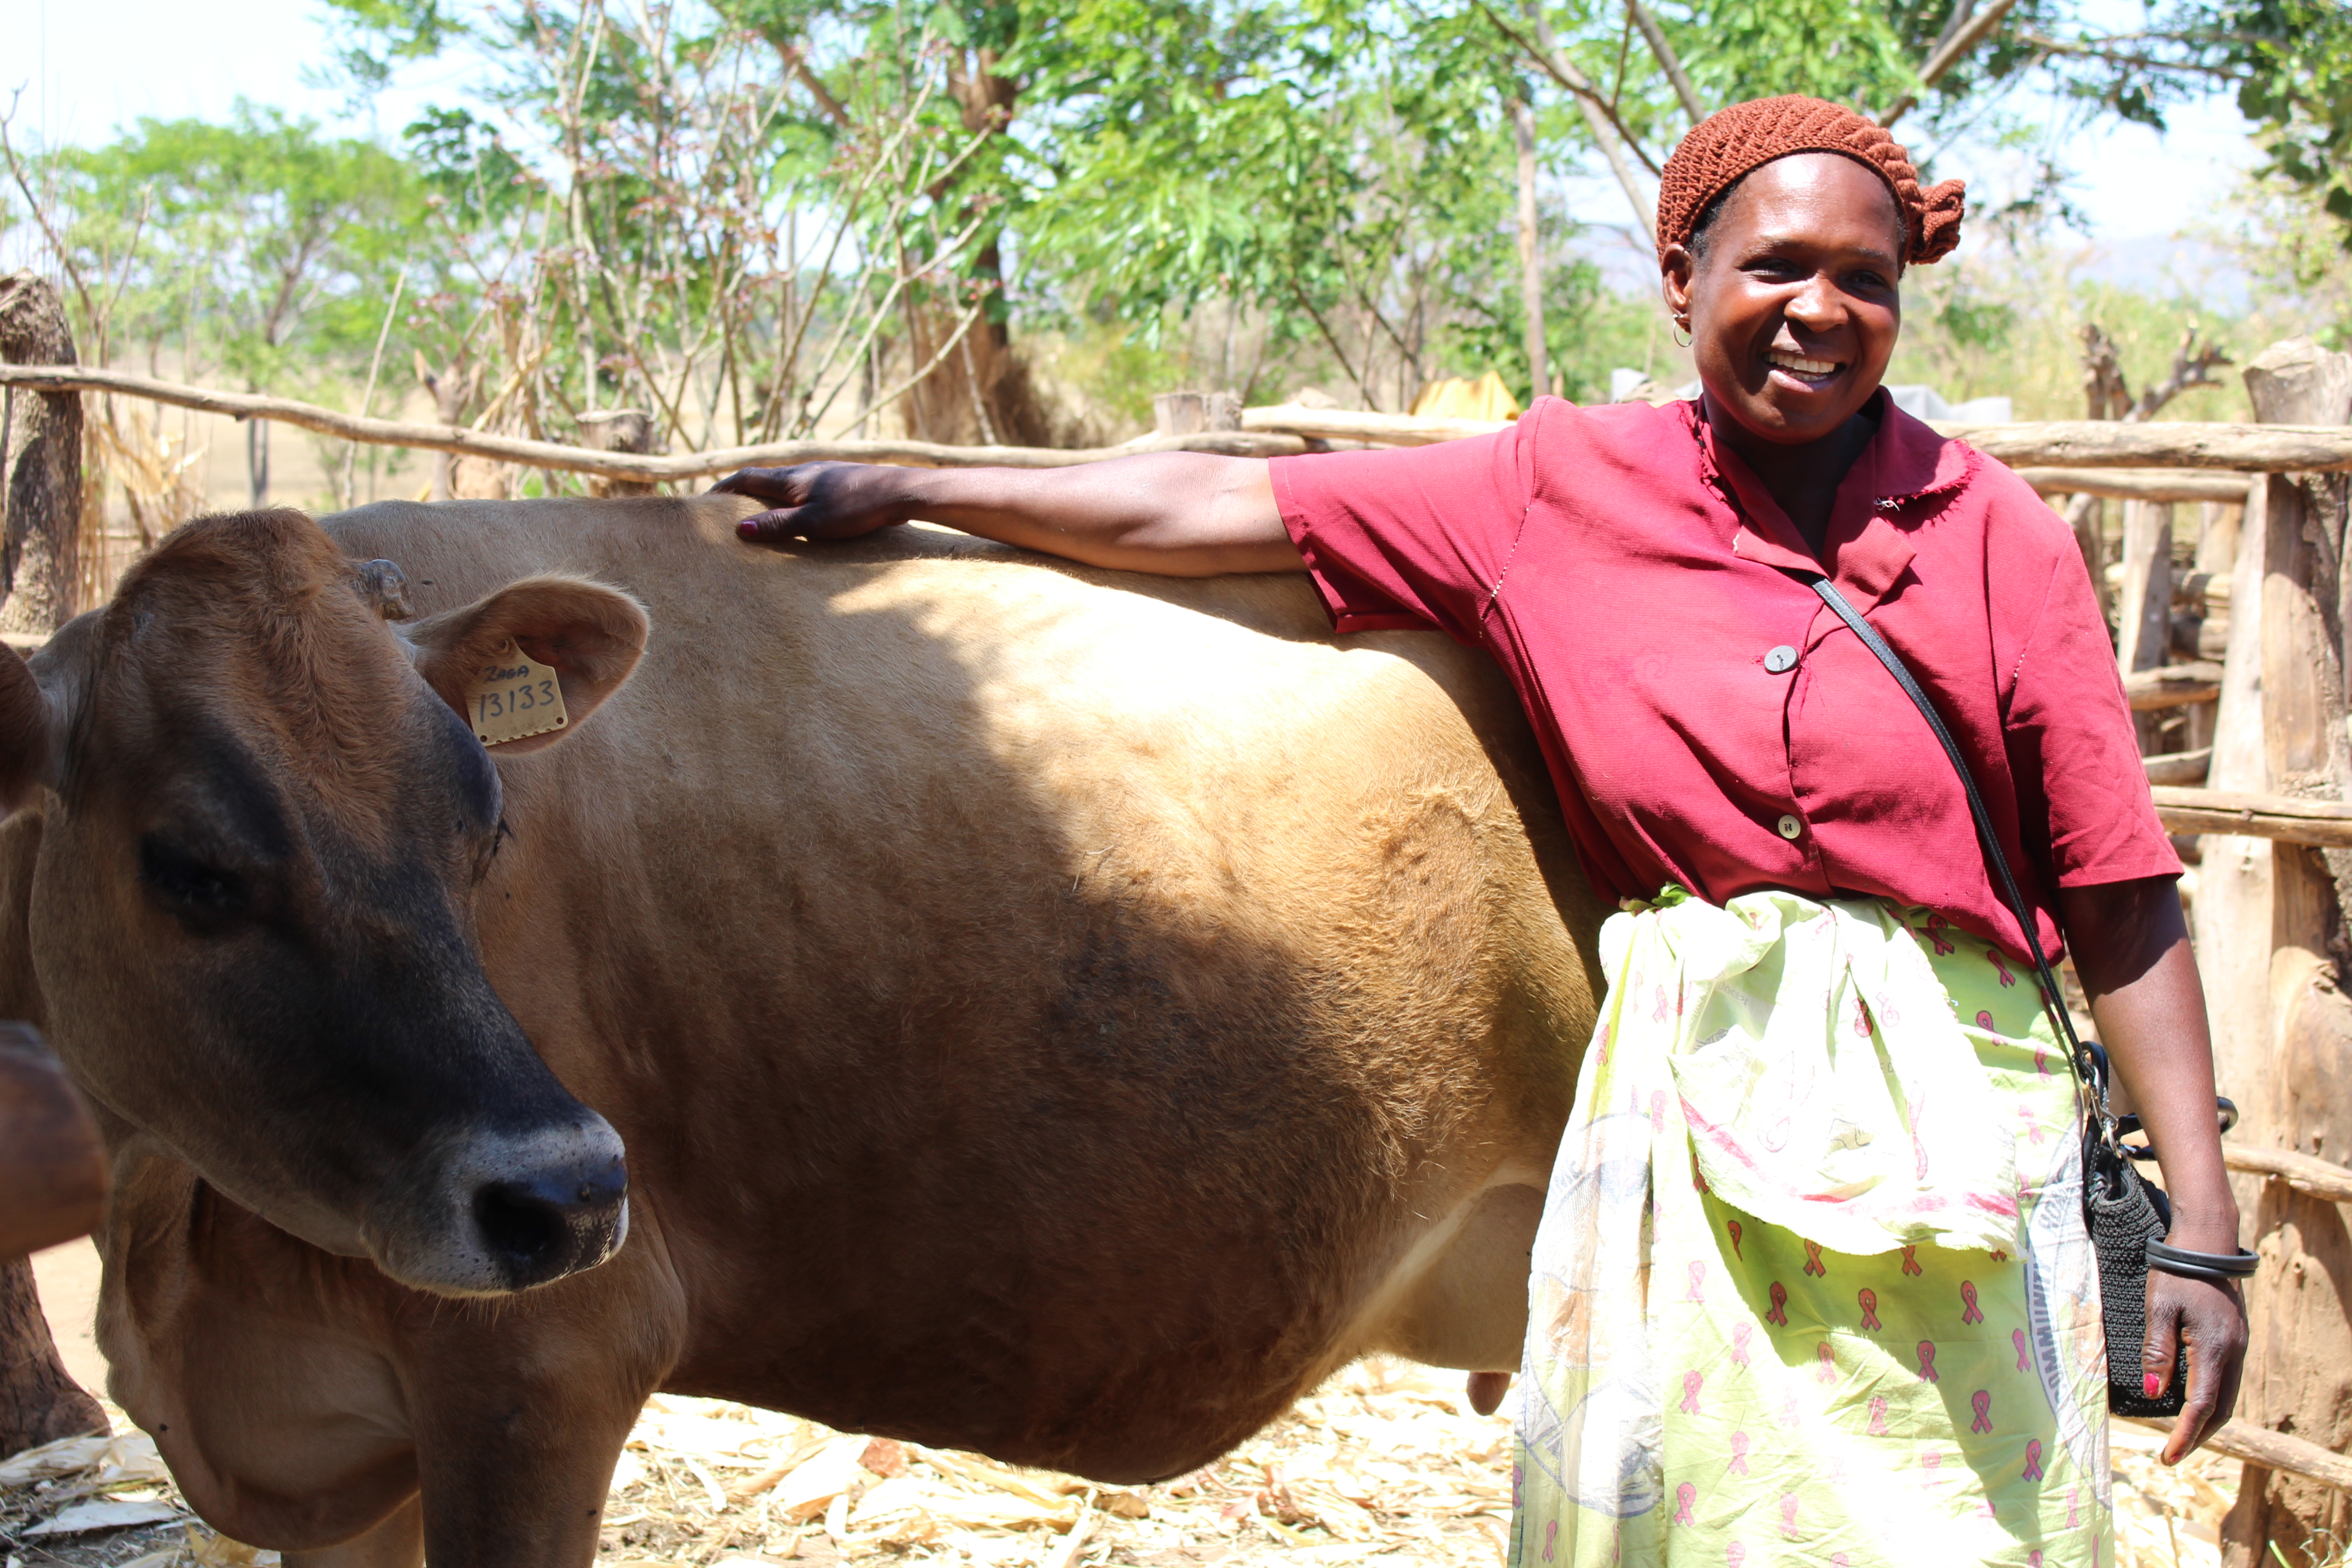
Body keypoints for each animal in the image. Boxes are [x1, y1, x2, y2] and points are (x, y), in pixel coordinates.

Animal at [0, 495, 1606, 1568]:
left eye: (486, 823)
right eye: (191, 869)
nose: (567, 1194)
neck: (181, 1239)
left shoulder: (542, 1376)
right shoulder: (344, 1450)